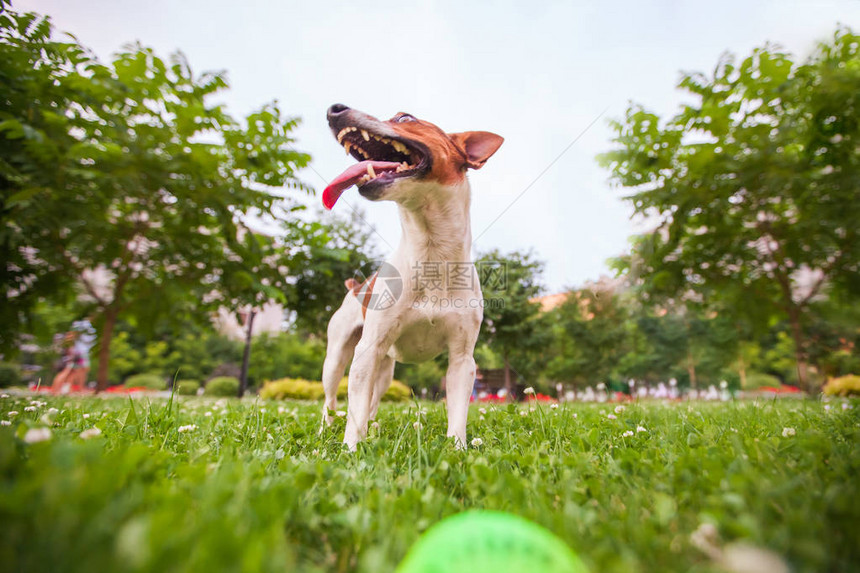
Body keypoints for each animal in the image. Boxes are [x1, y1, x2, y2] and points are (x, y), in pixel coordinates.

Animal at [320, 105, 500, 450]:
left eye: (405, 118)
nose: (335, 110)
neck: (430, 253)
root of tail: (356, 287)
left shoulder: (462, 360)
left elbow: (458, 413)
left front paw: (458, 450)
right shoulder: (367, 350)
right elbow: (354, 411)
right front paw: (351, 450)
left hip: (385, 370)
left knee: (372, 402)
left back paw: (374, 428)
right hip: (338, 357)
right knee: (331, 399)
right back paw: (327, 429)